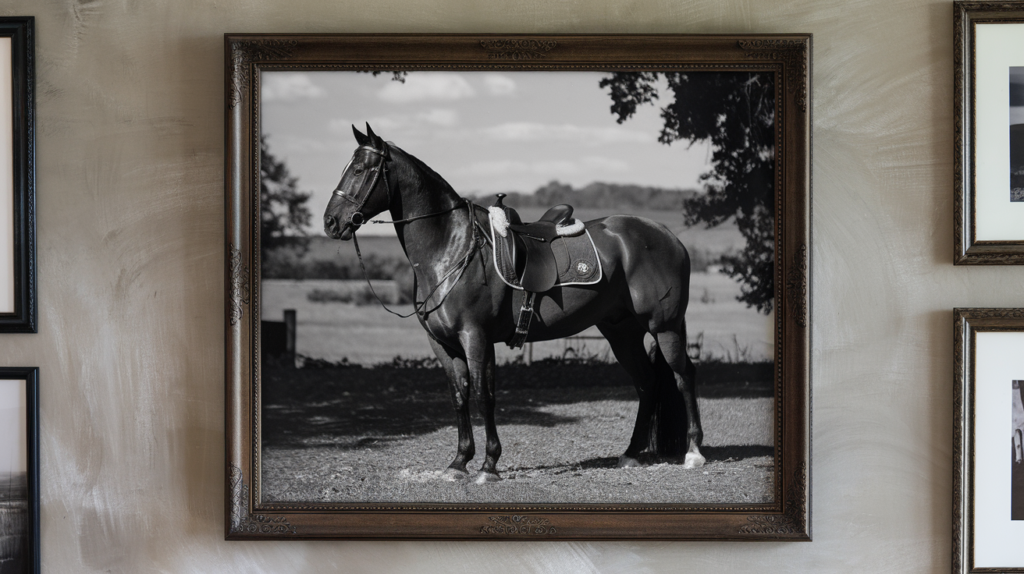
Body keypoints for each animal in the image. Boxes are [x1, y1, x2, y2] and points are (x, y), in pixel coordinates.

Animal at [321, 123, 704, 480]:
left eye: (360, 169)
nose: (330, 222)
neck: (452, 248)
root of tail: (667, 236)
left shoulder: (475, 338)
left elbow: (483, 396)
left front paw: (488, 465)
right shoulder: (442, 344)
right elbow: (459, 397)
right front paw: (459, 462)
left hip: (664, 327)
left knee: (684, 375)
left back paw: (694, 451)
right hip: (621, 332)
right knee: (647, 383)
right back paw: (631, 453)